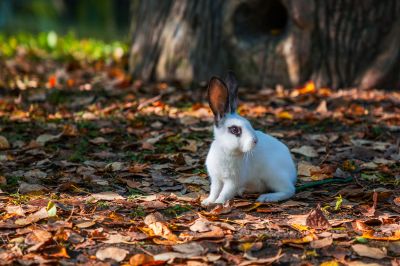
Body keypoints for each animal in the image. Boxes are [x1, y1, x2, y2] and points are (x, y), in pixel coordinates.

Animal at [202, 71, 296, 205]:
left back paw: (266, 198)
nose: (255, 141)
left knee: (289, 190)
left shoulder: (233, 181)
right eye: (234, 130)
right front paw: (208, 201)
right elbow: (214, 191)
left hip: (274, 176)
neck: (227, 151)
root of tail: (292, 172)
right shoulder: (216, 179)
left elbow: (225, 193)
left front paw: (218, 203)